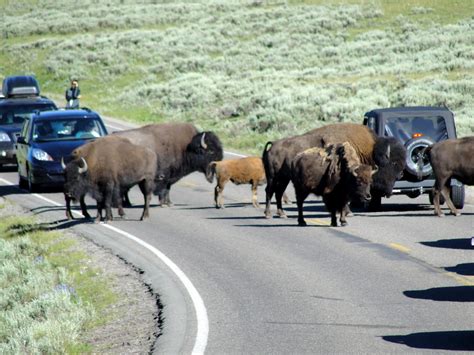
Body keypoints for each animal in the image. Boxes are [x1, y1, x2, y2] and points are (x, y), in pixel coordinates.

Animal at [262, 122, 406, 218]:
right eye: (391, 164)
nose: (389, 192)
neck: (369, 151)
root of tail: (273, 145)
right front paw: (347, 213)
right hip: (273, 177)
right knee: (270, 191)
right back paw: (268, 214)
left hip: (283, 179)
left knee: (278, 193)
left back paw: (282, 214)